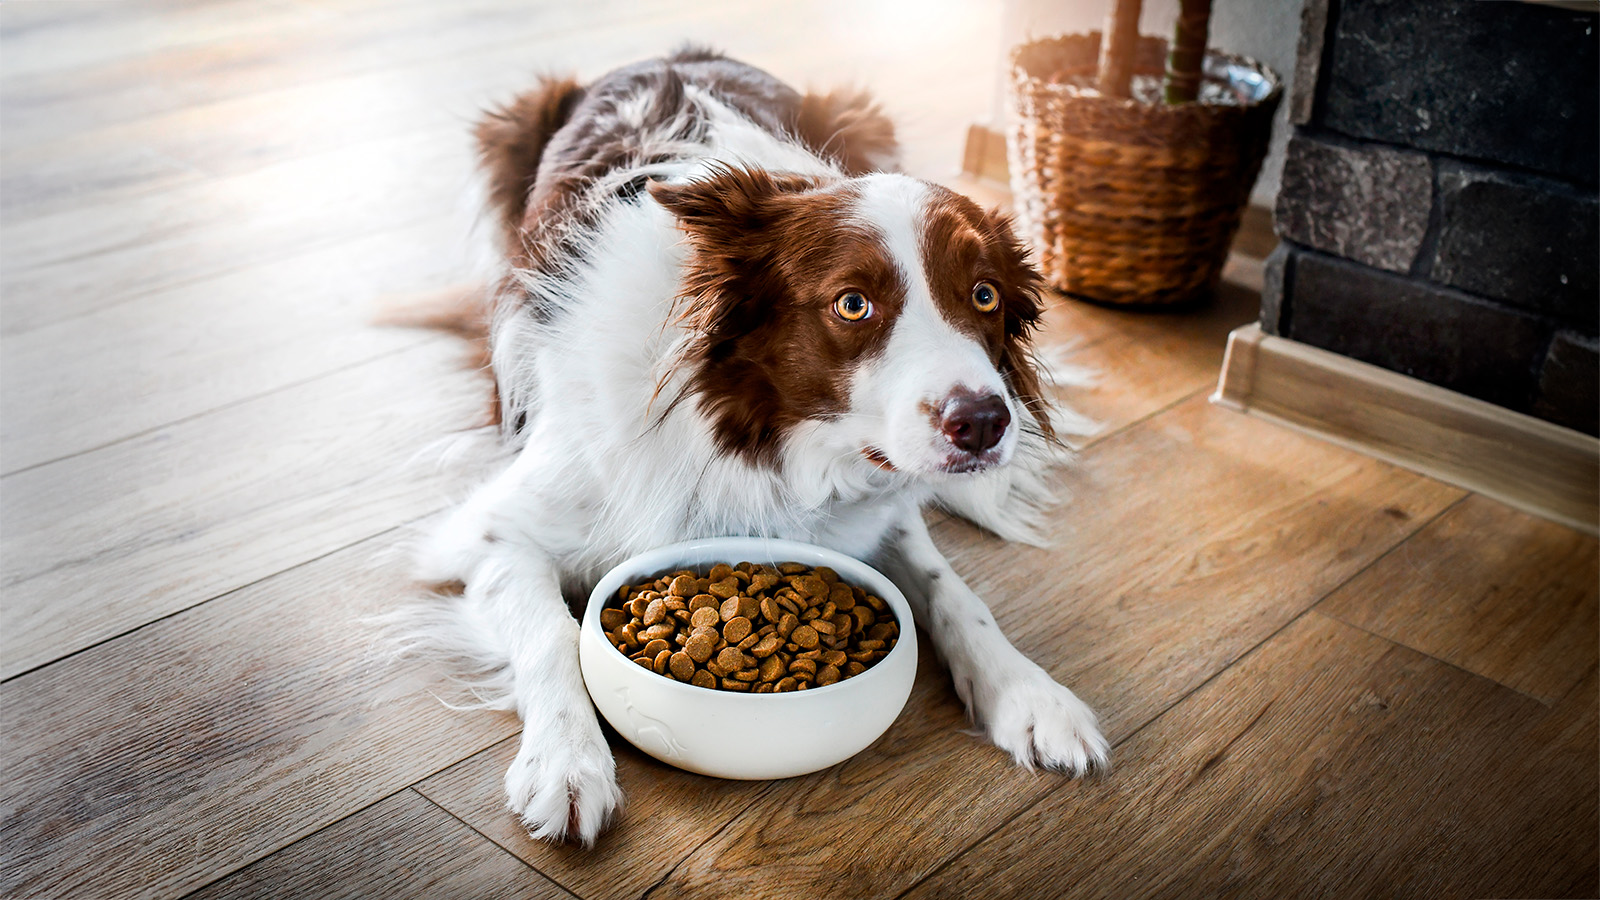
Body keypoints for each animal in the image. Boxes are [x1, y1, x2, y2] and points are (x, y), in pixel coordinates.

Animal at [412, 45, 1107, 845]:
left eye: (985, 295)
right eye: (852, 304)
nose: (987, 424)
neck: (749, 439)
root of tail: (675, 49)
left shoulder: (876, 501)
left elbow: (952, 589)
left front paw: (1031, 693)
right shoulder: (495, 531)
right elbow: (552, 633)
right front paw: (567, 763)